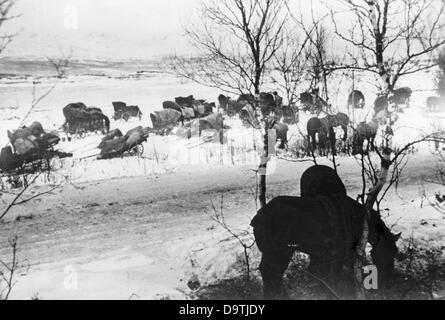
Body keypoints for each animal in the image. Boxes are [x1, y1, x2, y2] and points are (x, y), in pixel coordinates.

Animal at [251, 166, 400, 298]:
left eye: (395, 252)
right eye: (387, 252)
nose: (388, 283)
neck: (360, 220)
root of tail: (256, 218)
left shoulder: (326, 254)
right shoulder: (342, 253)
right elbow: (337, 275)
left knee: (268, 273)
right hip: (279, 252)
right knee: (272, 273)